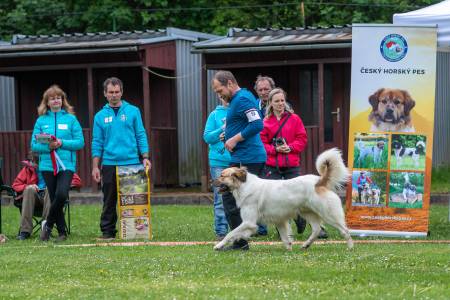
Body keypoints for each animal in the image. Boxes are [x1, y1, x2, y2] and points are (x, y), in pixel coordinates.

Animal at [213, 148, 354, 251]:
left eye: (222, 176)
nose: (211, 181)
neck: (244, 185)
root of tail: (319, 182)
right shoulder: (279, 220)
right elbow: (285, 238)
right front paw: (289, 249)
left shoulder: (249, 222)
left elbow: (231, 234)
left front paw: (218, 245)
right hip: (308, 213)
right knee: (316, 229)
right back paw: (306, 245)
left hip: (328, 214)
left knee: (345, 230)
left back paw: (350, 247)